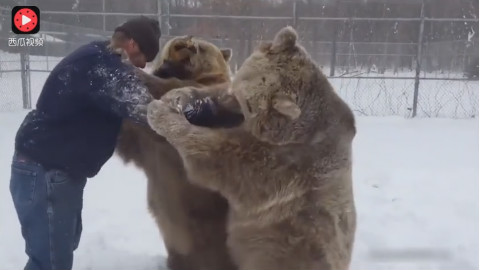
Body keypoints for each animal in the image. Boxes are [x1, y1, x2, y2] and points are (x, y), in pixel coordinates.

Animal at [146, 26, 356, 270]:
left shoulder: (280, 165)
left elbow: (214, 156)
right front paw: (178, 96)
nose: (206, 109)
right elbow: (206, 89)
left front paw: (159, 112)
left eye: (246, 105)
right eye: (236, 90)